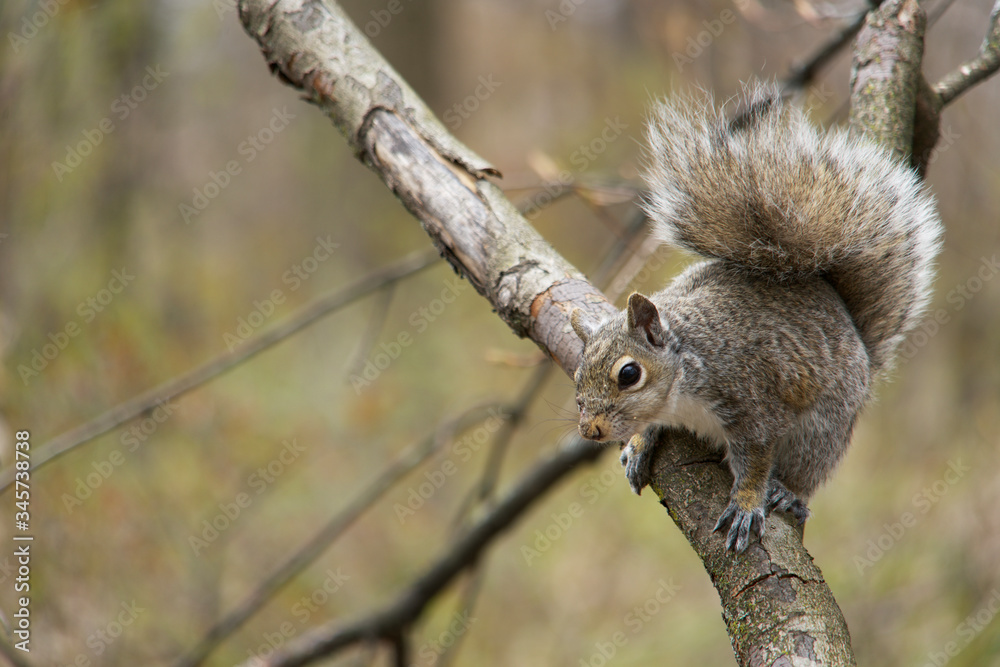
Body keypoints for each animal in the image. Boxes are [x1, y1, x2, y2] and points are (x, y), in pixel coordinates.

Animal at [570, 82, 943, 552]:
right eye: (577, 375)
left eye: (629, 374)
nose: (591, 430)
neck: (687, 370)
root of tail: (852, 329)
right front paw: (639, 443)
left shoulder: (754, 402)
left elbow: (756, 461)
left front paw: (747, 503)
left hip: (821, 427)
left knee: (809, 468)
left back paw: (788, 493)